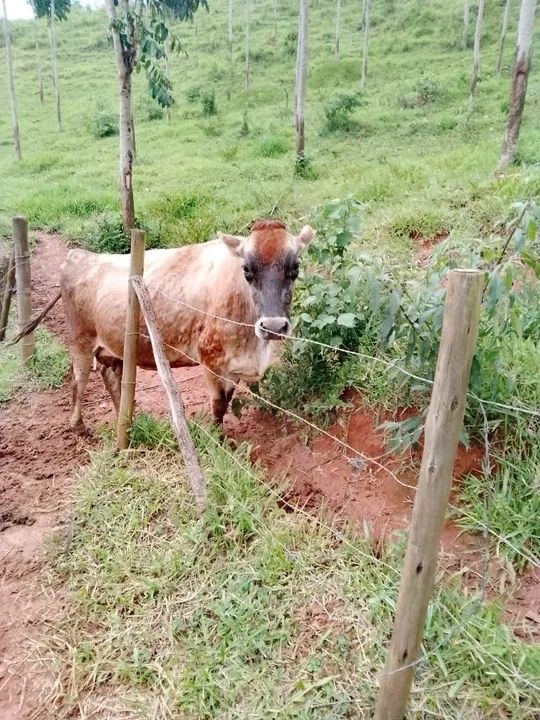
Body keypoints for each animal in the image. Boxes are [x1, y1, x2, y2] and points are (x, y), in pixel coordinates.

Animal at [18, 219, 314, 435]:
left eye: (295, 268)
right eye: (247, 270)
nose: (273, 326)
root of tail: (80, 255)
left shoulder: (235, 366)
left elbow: (227, 401)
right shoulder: (210, 358)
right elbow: (218, 406)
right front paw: (218, 440)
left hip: (117, 345)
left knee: (111, 376)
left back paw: (126, 419)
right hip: (80, 340)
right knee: (78, 381)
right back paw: (79, 427)